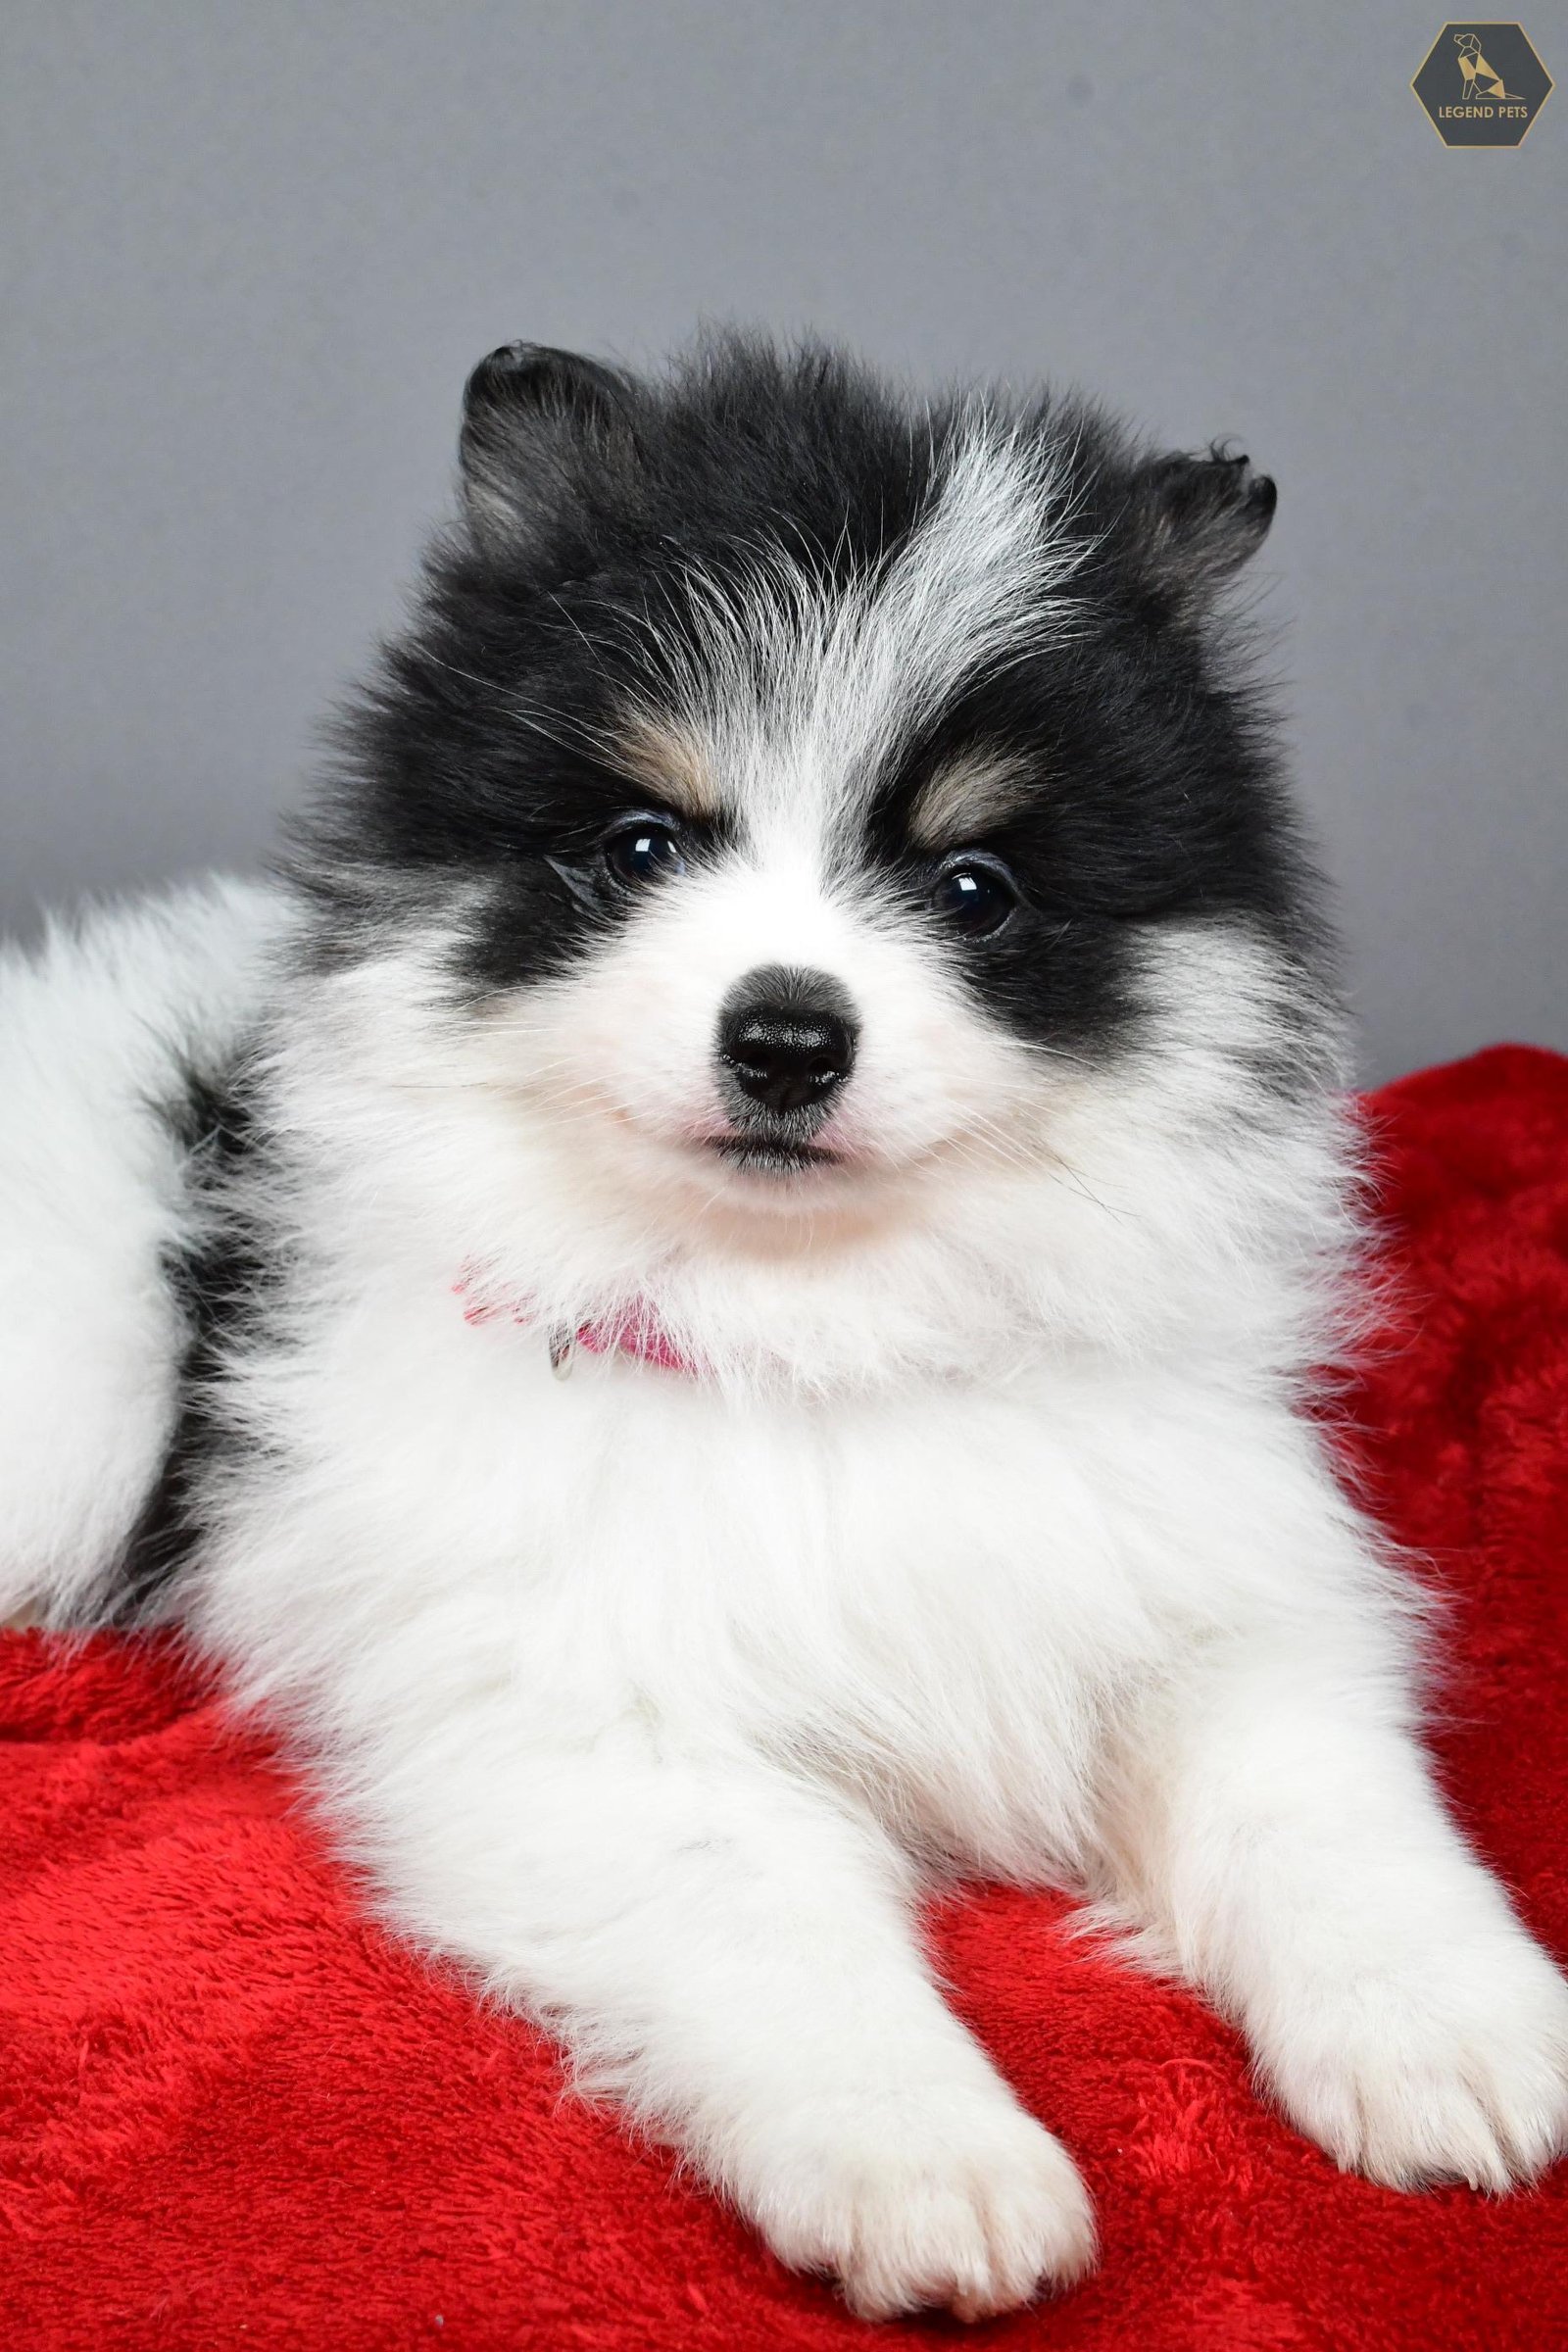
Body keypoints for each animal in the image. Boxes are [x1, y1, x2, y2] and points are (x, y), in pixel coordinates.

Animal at [3, 335, 1565, 2321]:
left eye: (977, 888)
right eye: (638, 843)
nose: (788, 1034)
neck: (814, 1329)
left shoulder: (1197, 1584)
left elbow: (1321, 1796)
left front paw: (1453, 2029)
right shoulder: (594, 1717)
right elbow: (777, 1935)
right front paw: (932, 2165)